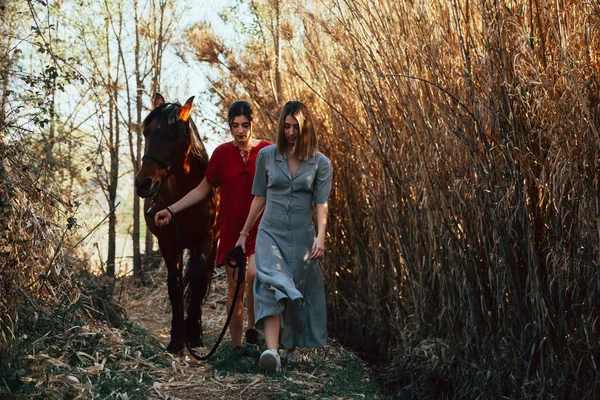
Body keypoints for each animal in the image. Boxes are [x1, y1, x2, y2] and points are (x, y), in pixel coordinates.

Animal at [135, 93, 219, 354]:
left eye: (172, 137)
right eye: (146, 133)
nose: (143, 183)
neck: (186, 195)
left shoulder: (206, 239)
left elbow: (197, 281)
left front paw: (194, 335)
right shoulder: (168, 242)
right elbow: (175, 285)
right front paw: (176, 340)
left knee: (202, 281)